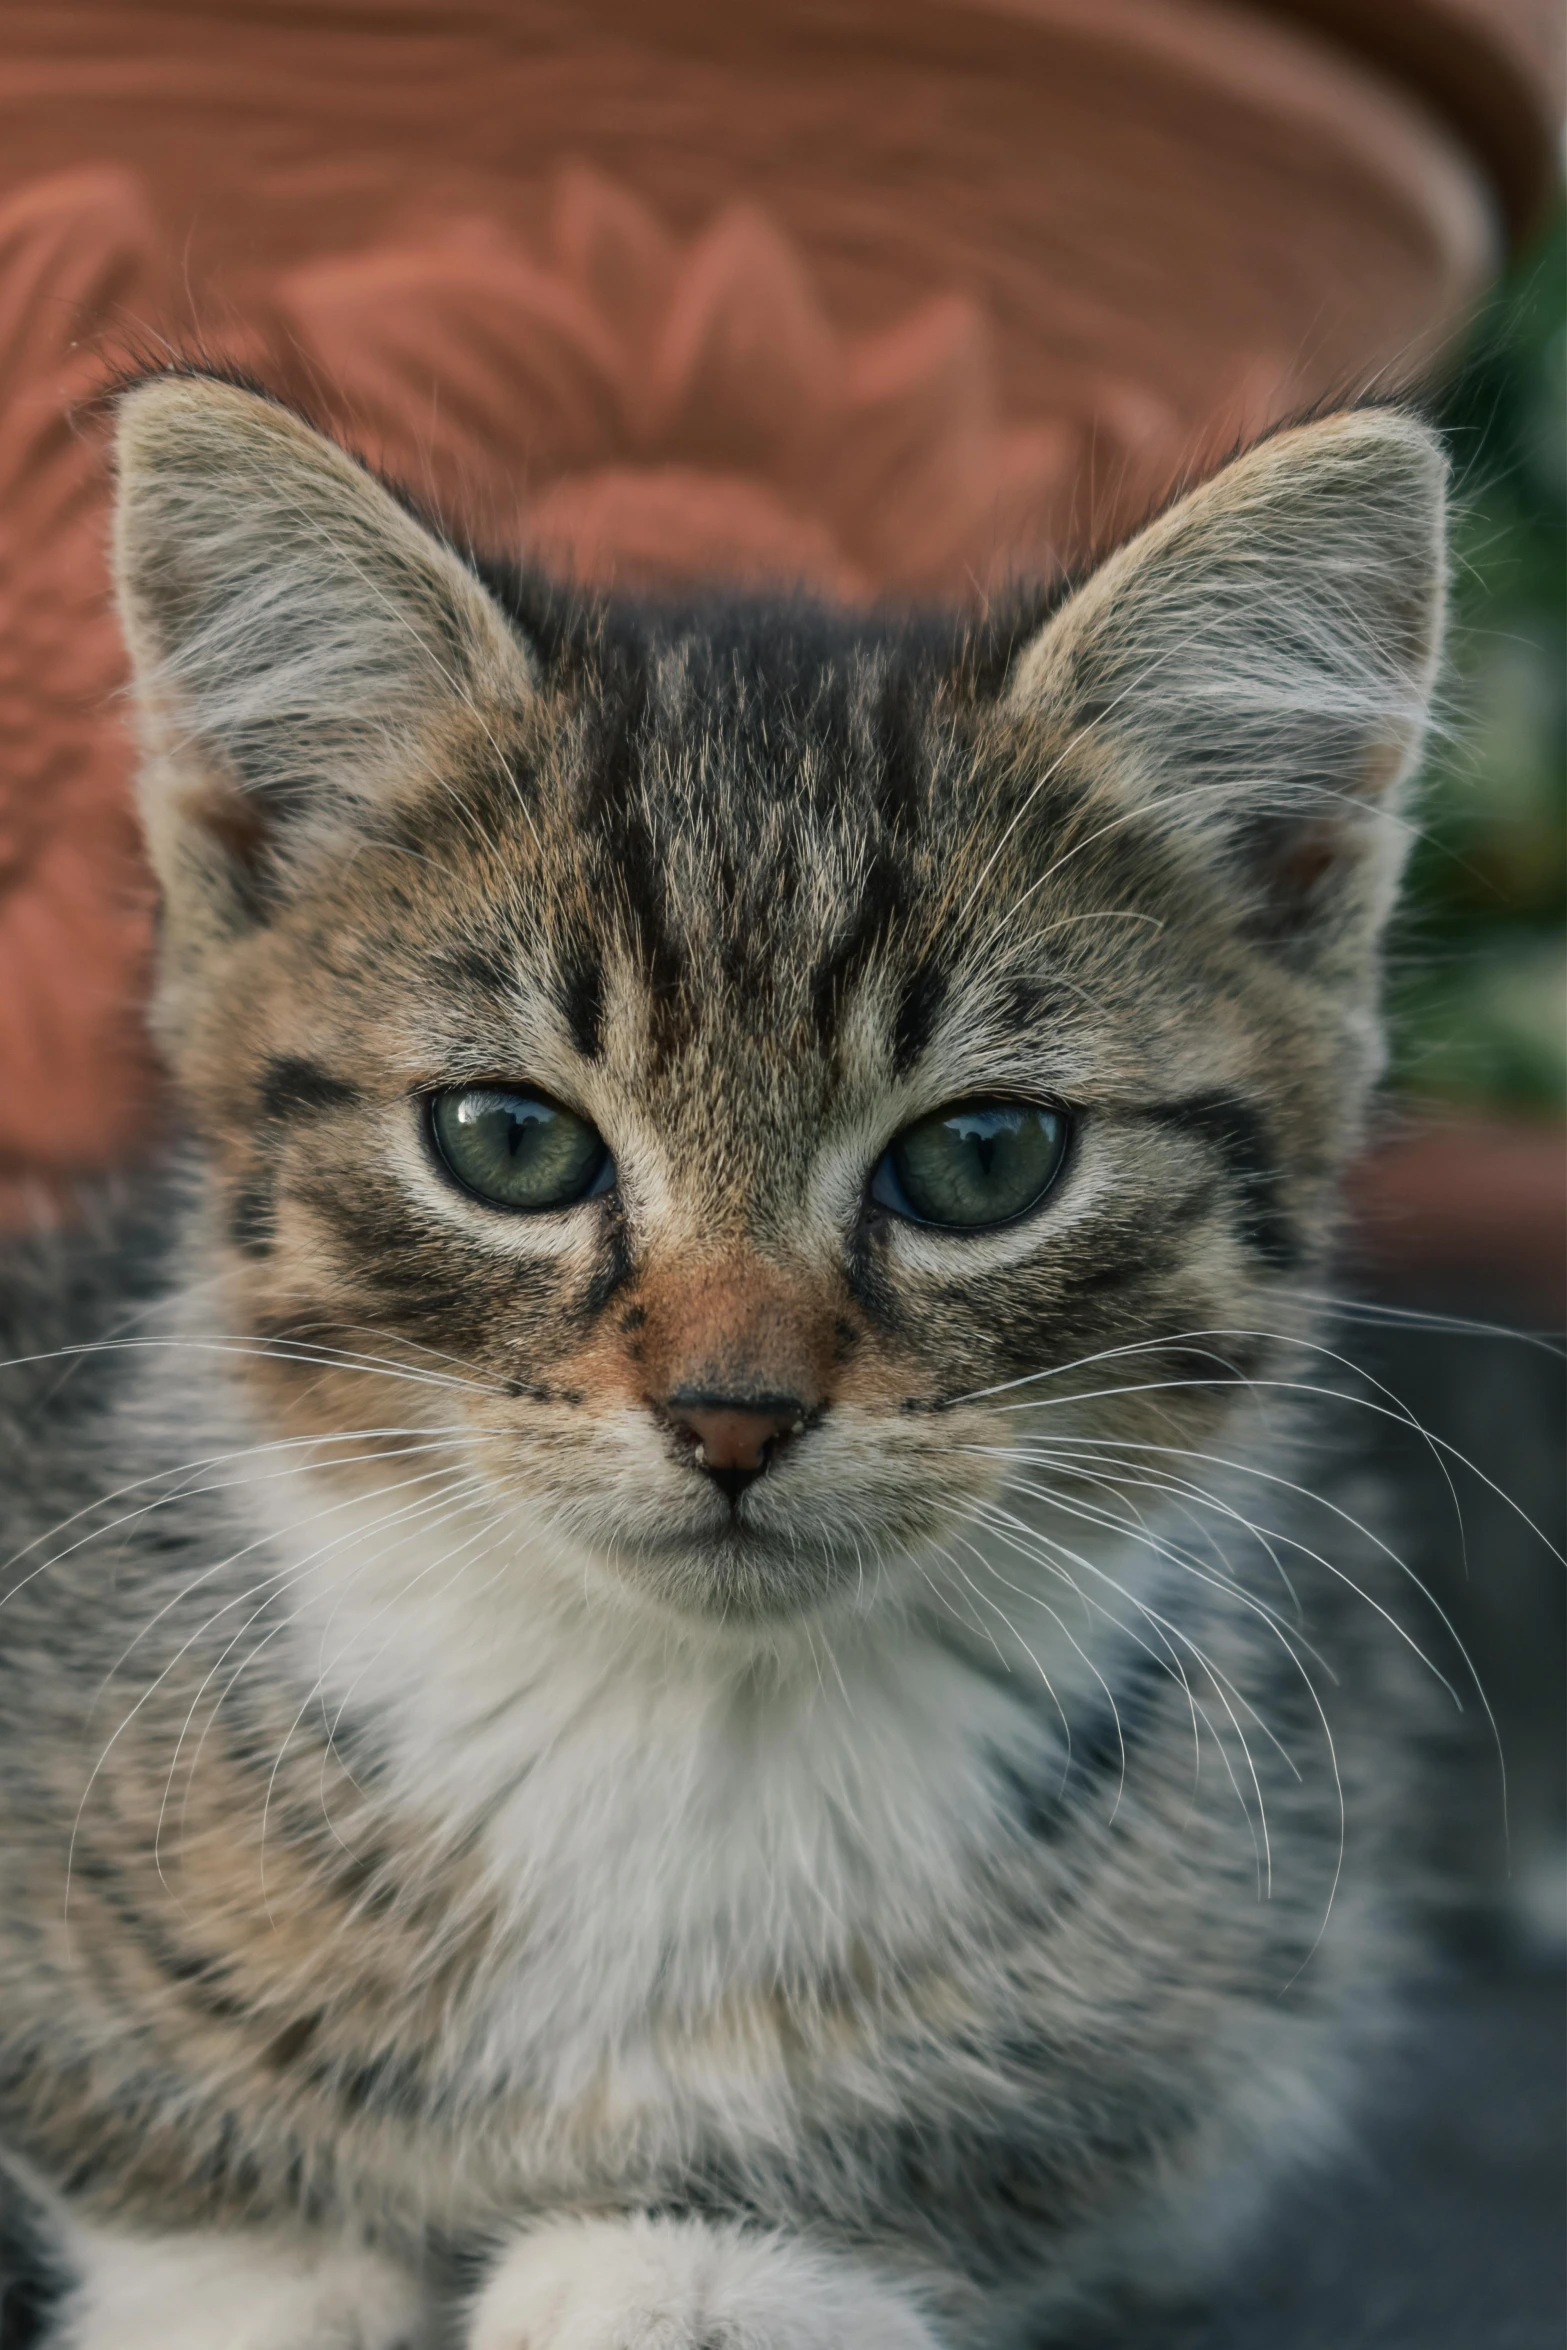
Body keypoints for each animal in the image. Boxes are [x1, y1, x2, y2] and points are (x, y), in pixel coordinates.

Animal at [0, 376, 1447, 2340]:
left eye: (984, 1158)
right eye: (507, 1141)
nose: (733, 1414)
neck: (678, 1728)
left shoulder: (1218, 1987)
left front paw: (691, 2264)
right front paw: (260, 2275)